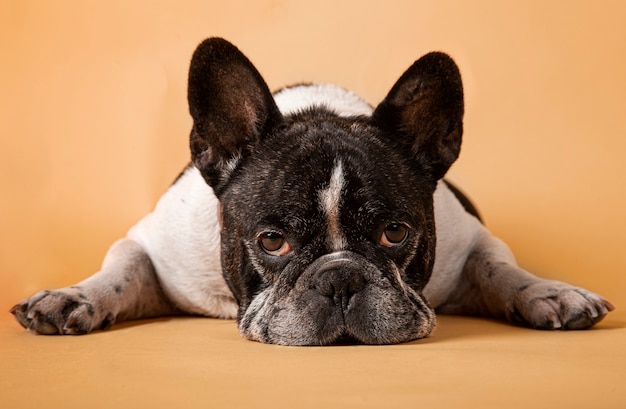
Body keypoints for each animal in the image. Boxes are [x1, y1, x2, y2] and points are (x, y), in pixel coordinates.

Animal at [11, 37, 616, 344]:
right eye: (271, 241)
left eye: (395, 233)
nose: (340, 279)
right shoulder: (155, 244)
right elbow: (123, 266)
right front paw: (75, 296)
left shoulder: (470, 238)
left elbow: (499, 266)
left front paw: (548, 292)